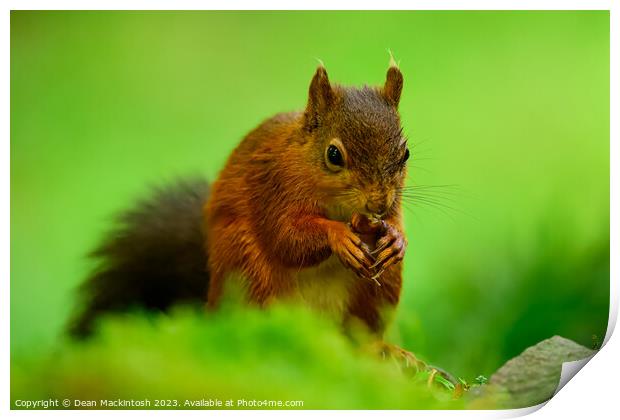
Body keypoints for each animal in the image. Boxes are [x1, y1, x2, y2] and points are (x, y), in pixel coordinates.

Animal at [71, 60, 412, 360]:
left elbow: (392, 222)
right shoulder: (273, 188)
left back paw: (382, 349)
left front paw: (396, 239)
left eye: (406, 153)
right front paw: (338, 236)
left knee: (358, 334)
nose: (378, 202)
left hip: (379, 289)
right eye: (333, 155)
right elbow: (287, 238)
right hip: (247, 267)